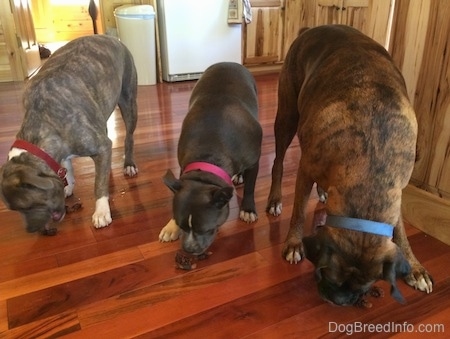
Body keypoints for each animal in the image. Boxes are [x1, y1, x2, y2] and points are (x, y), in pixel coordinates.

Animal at [0, 35, 138, 236]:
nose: (32, 230)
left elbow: (98, 185)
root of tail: (110, 37)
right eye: (14, 210)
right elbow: (68, 168)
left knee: (129, 137)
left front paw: (101, 211)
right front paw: (69, 186)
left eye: (28, 206)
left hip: (128, 101)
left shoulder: (100, 146)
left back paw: (129, 165)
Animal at [159, 61, 262, 262]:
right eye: (182, 226)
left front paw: (248, 209)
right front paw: (171, 226)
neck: (208, 159)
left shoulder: (254, 162)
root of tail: (228, 62)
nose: (189, 248)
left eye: (206, 229)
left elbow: (250, 187)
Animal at [268, 25, 432, 306]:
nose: (339, 300)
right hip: (287, 115)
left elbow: (400, 231)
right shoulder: (306, 169)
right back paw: (275, 200)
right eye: (326, 274)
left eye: (365, 287)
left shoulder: (396, 190)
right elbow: (298, 210)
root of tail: (312, 28)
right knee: (277, 162)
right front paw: (293, 244)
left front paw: (415, 266)